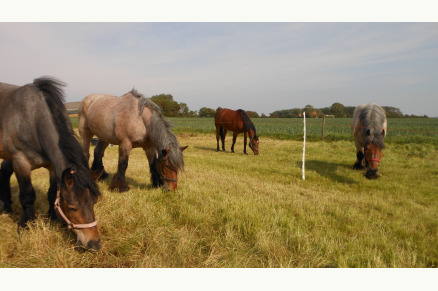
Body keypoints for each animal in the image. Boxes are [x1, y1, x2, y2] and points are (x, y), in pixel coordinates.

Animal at [0, 77, 102, 251]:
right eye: (72, 207)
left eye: (93, 202)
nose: (94, 243)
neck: (32, 119)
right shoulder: (21, 162)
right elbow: (27, 195)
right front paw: (26, 224)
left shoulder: (52, 167)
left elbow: (52, 193)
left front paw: (52, 218)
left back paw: (6, 206)